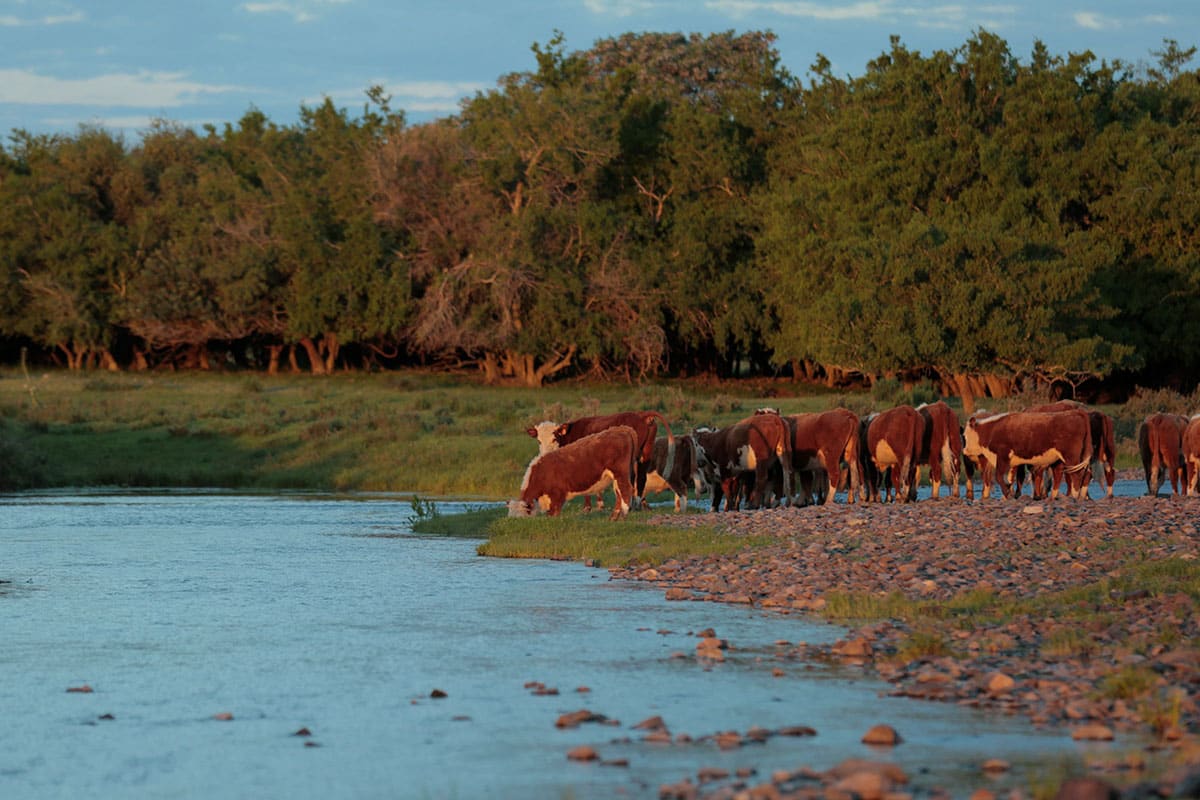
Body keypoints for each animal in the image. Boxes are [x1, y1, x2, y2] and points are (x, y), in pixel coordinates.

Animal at [506, 424, 638, 520]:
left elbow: (553, 513)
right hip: (617, 476)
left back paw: (623, 516)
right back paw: (613, 517)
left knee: (626, 490)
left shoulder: (557, 496)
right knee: (619, 493)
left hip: (620, 473)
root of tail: (623, 429)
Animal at [525, 410, 676, 510]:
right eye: (539, 441)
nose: (544, 453)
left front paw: (588, 507)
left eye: (554, 438)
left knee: (632, 477)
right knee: (641, 477)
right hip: (646, 451)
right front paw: (599, 504)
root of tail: (641, 414)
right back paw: (641, 504)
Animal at [960, 412, 1094, 501]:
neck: (992, 430)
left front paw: (1008, 494)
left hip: (1071, 457)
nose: (964, 451)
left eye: (965, 435)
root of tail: (1074, 414)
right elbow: (1012, 478)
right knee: (1084, 474)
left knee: (1077, 475)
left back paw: (1075, 496)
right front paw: (1009, 492)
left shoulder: (1003, 456)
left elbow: (998, 476)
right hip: (1073, 458)